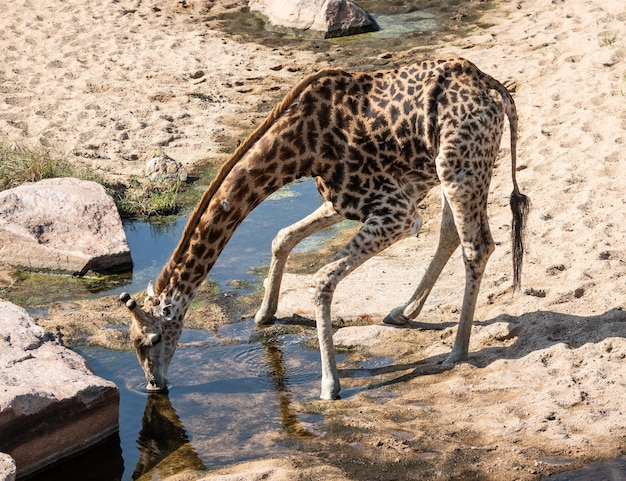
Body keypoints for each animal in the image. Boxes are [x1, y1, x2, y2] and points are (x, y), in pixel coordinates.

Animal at [120, 58, 528, 400]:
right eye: (134, 342)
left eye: (151, 340)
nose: (153, 385)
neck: (301, 146)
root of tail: (493, 87)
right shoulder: (344, 203)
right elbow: (282, 237)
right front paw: (264, 314)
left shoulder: (397, 211)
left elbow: (321, 280)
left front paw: (329, 385)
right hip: (449, 171)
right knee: (451, 235)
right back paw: (403, 312)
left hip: (460, 167)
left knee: (478, 246)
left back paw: (457, 351)